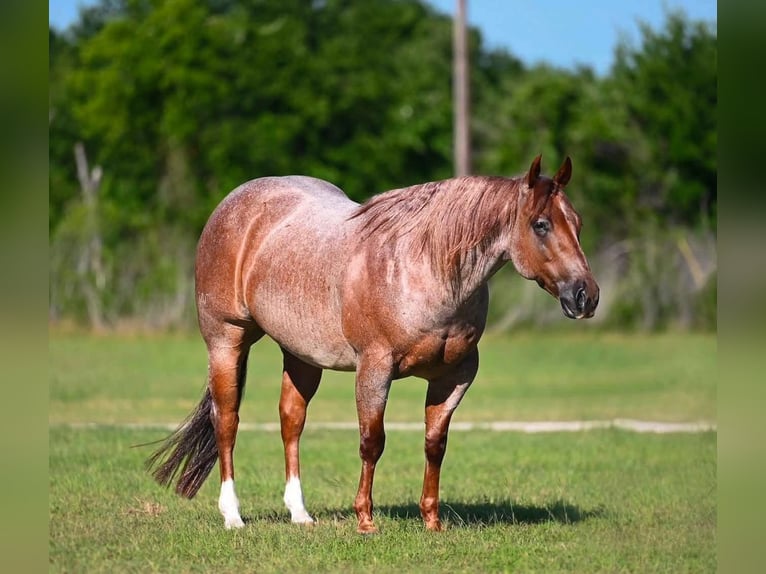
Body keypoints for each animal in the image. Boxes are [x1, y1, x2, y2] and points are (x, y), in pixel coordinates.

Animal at [146, 154, 599, 533]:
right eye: (541, 224)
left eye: (577, 223)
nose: (586, 296)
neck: (424, 269)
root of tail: (233, 204)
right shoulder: (375, 369)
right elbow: (372, 441)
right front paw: (365, 519)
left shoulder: (455, 376)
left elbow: (435, 444)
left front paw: (431, 520)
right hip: (226, 340)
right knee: (227, 422)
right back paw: (233, 515)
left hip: (301, 355)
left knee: (291, 421)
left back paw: (300, 513)